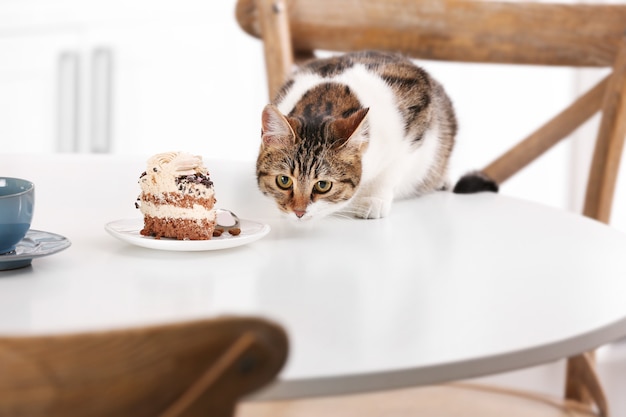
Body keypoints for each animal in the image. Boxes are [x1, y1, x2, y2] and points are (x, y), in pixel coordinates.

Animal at [255, 49, 458, 221]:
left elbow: (394, 167)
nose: (298, 212)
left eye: (323, 185)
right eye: (284, 181)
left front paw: (374, 200)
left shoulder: (418, 115)